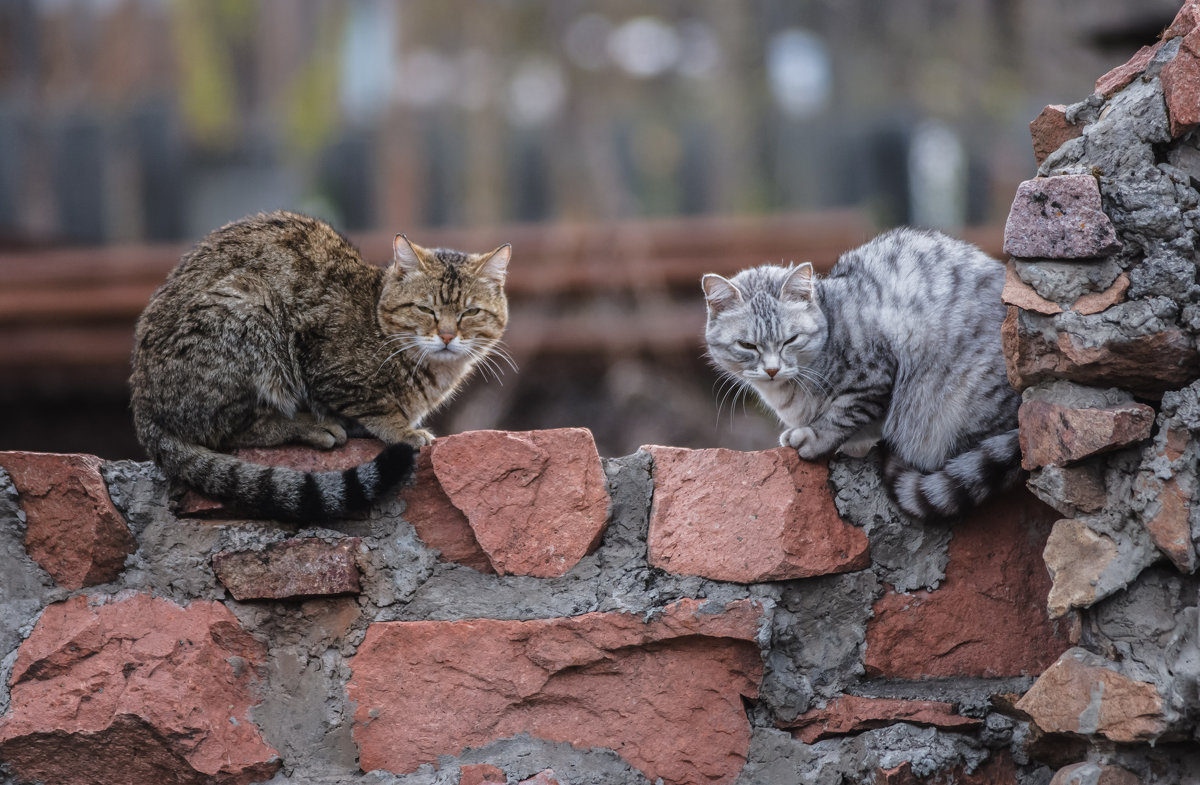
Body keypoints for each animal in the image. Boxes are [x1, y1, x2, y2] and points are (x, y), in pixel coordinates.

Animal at [130, 208, 511, 520]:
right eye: (425, 309)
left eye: (470, 312)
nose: (446, 335)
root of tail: (142, 406)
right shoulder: (325, 364)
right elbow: (374, 407)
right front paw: (403, 430)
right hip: (250, 309)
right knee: (234, 430)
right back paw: (310, 426)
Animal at [700, 228, 1022, 523]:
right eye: (747, 345)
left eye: (790, 340)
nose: (771, 369)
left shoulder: (873, 374)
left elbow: (841, 415)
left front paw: (812, 438)